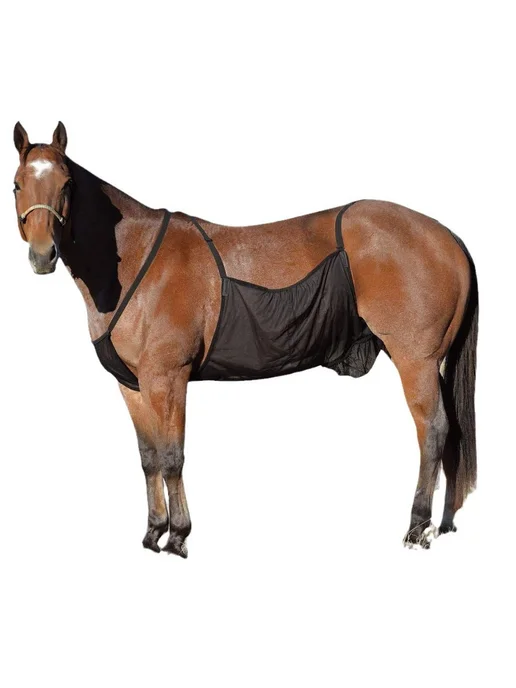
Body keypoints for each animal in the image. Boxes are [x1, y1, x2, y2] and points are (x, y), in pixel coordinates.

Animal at [12, 121, 478, 556]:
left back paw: (417, 527)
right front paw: (153, 531)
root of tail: (447, 237)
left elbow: (172, 457)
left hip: (416, 361)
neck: (134, 261)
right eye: (17, 183)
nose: (42, 255)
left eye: (67, 184)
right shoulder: (133, 385)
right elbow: (148, 459)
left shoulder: (168, 378)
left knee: (433, 430)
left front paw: (178, 536)